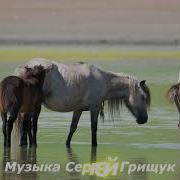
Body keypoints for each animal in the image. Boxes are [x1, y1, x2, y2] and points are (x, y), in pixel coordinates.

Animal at [15, 58, 150, 147]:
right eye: (143, 97)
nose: (144, 119)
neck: (104, 81)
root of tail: (21, 68)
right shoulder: (94, 108)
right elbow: (94, 128)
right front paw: (94, 145)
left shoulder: (78, 109)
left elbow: (72, 128)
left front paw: (67, 144)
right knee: (27, 124)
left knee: (27, 125)